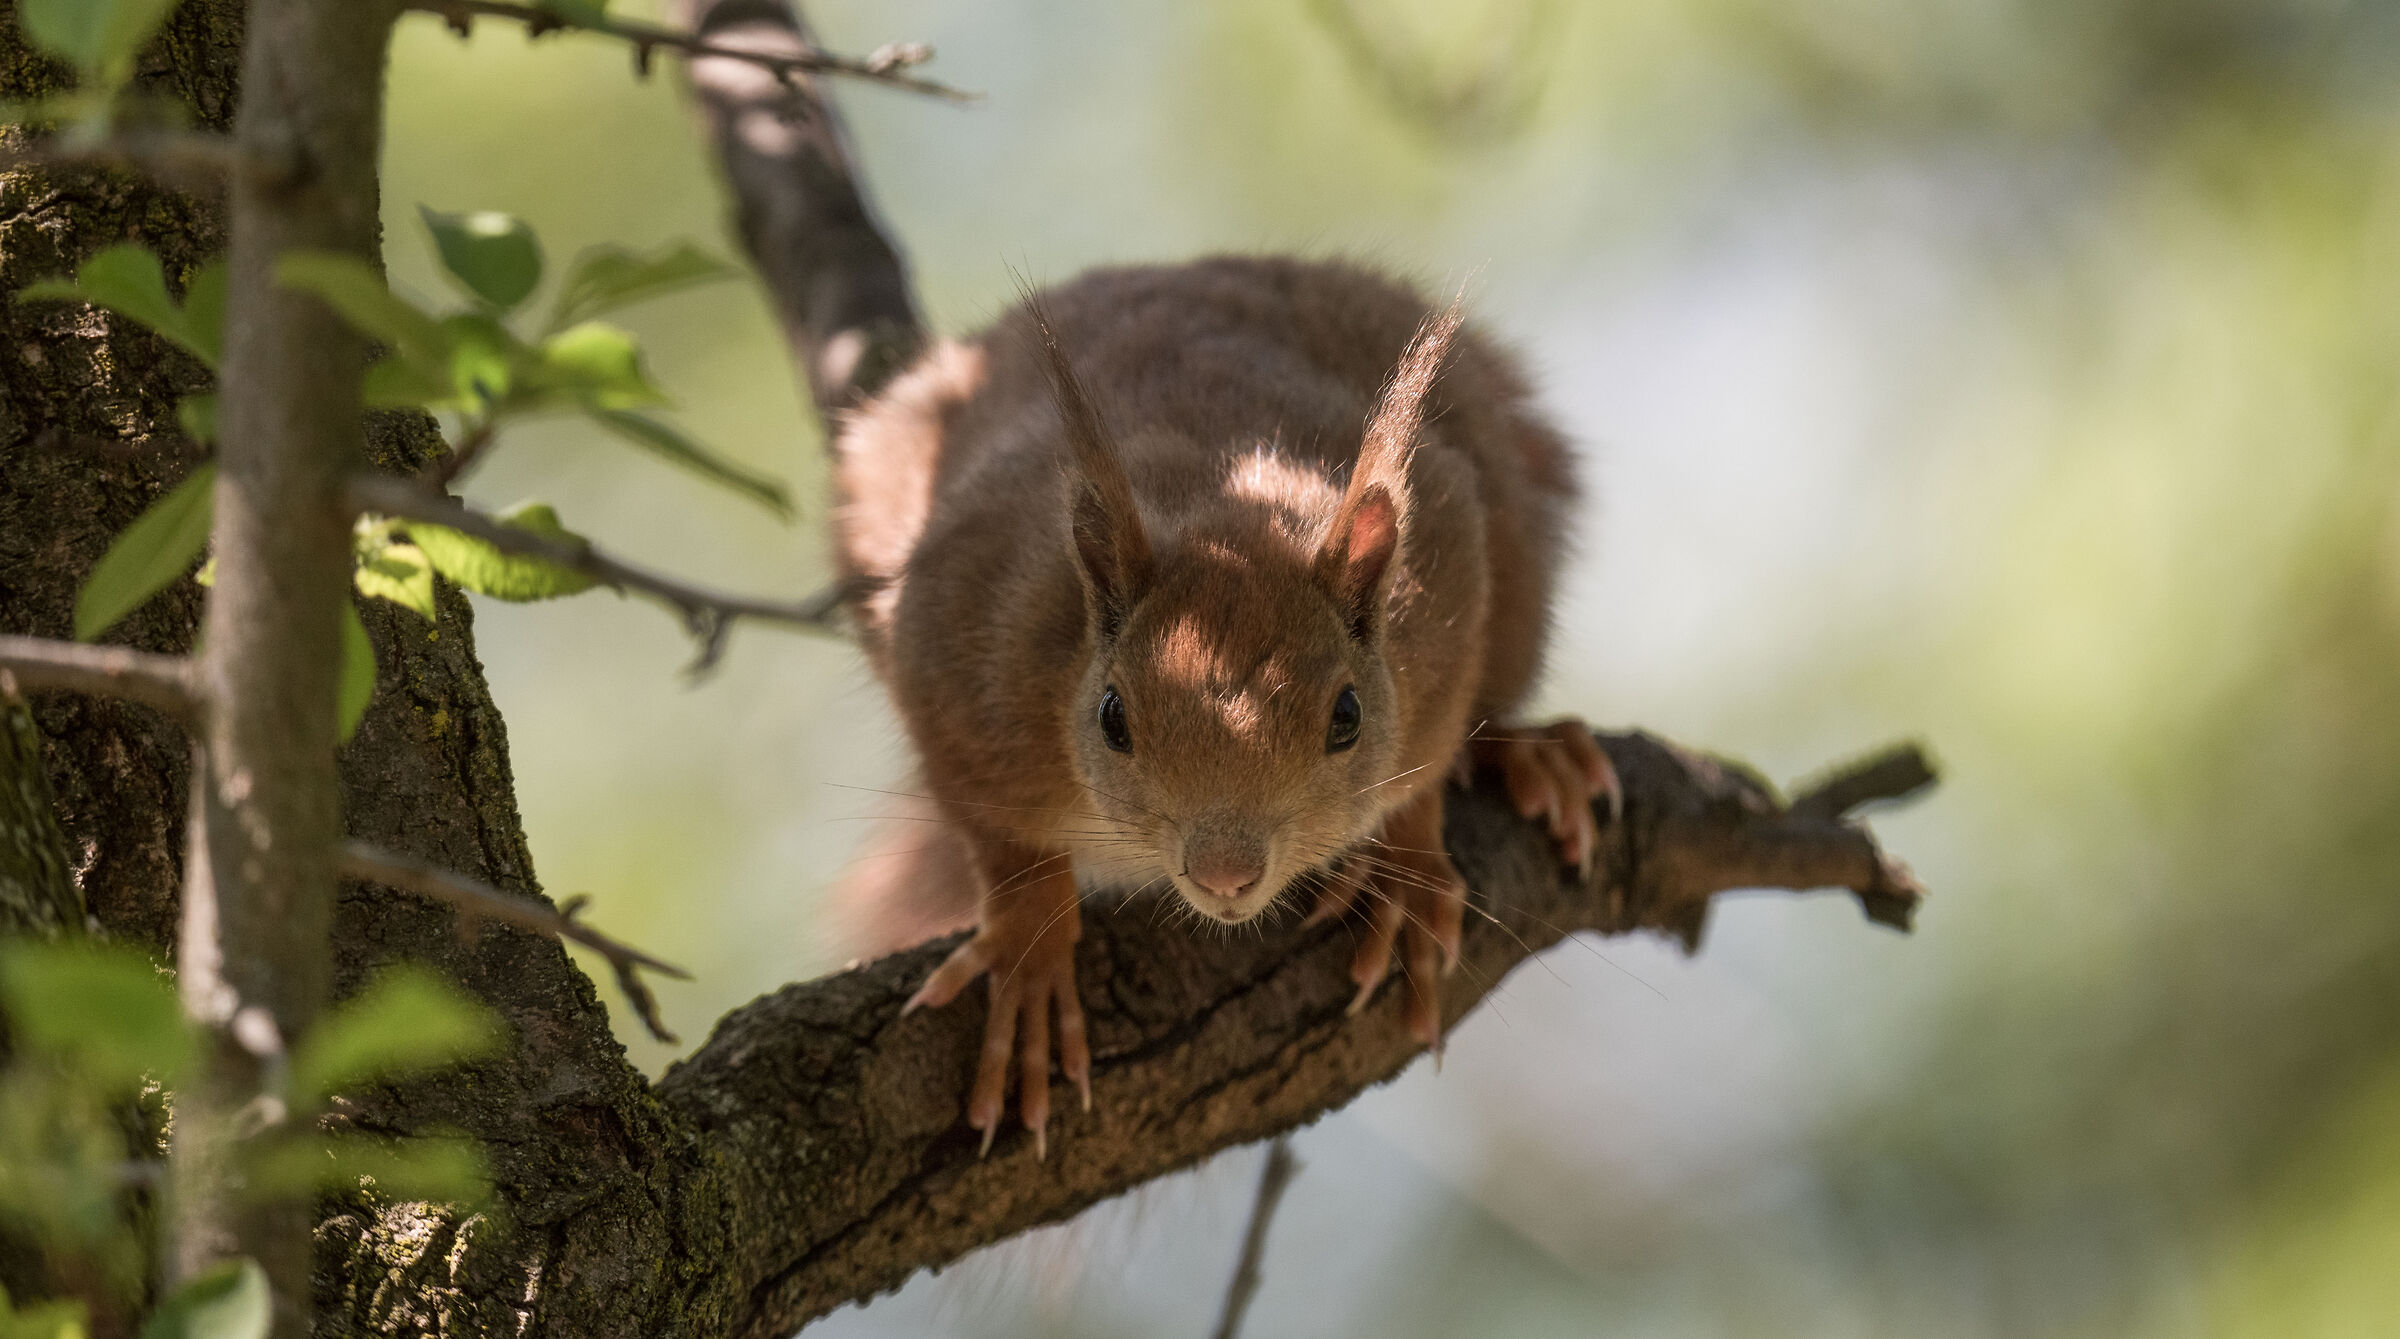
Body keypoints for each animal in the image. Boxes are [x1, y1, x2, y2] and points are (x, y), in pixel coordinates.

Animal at [829, 256, 1617, 1156]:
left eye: (1348, 715)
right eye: (1112, 716)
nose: (1225, 875)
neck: (1221, 511)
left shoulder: (1447, 589)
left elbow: (1419, 771)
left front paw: (1406, 871)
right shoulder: (964, 643)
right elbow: (997, 834)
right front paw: (1029, 957)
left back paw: (1532, 755)